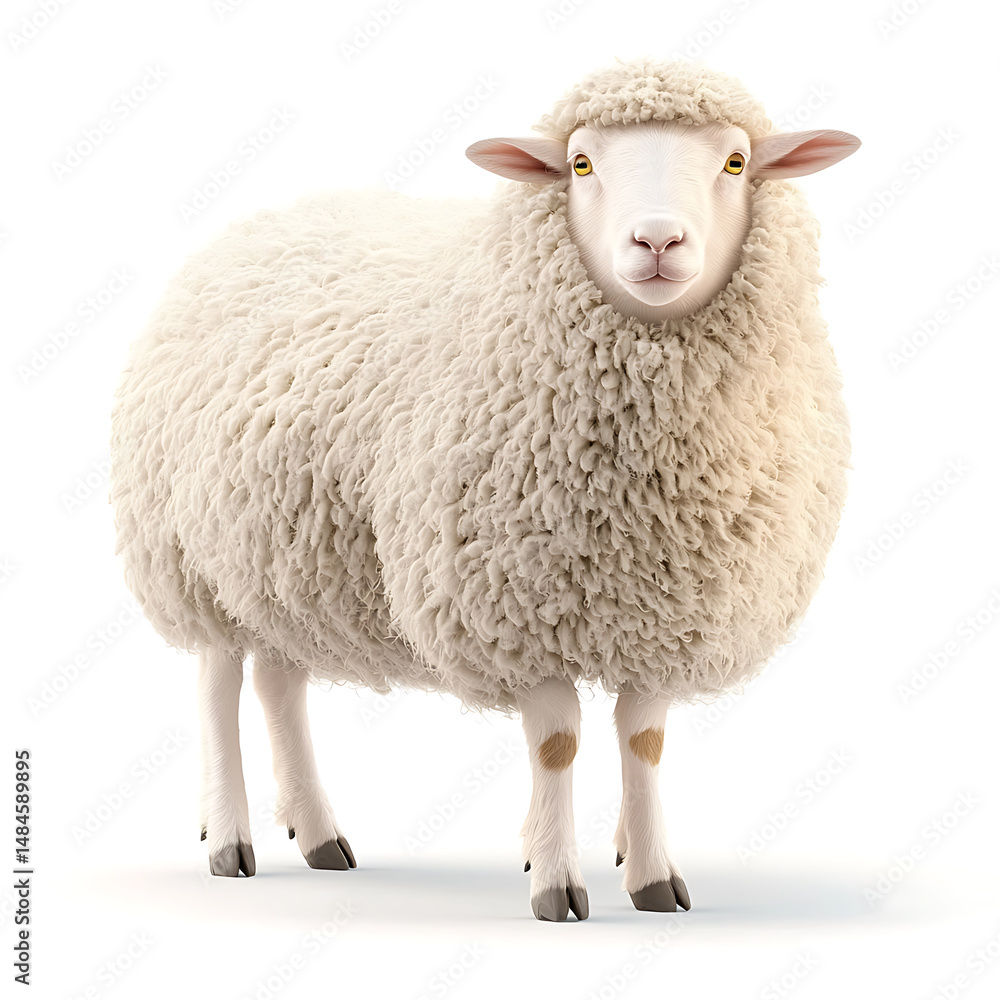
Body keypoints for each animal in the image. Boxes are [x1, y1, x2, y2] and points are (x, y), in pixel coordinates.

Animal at [110, 57, 859, 921]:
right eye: (580, 164)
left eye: (736, 162)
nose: (658, 241)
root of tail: (259, 222)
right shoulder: (511, 607)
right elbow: (558, 743)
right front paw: (558, 883)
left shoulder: (663, 615)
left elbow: (643, 740)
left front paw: (649, 876)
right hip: (189, 556)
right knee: (218, 685)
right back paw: (230, 840)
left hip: (284, 557)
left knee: (278, 681)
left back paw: (319, 831)